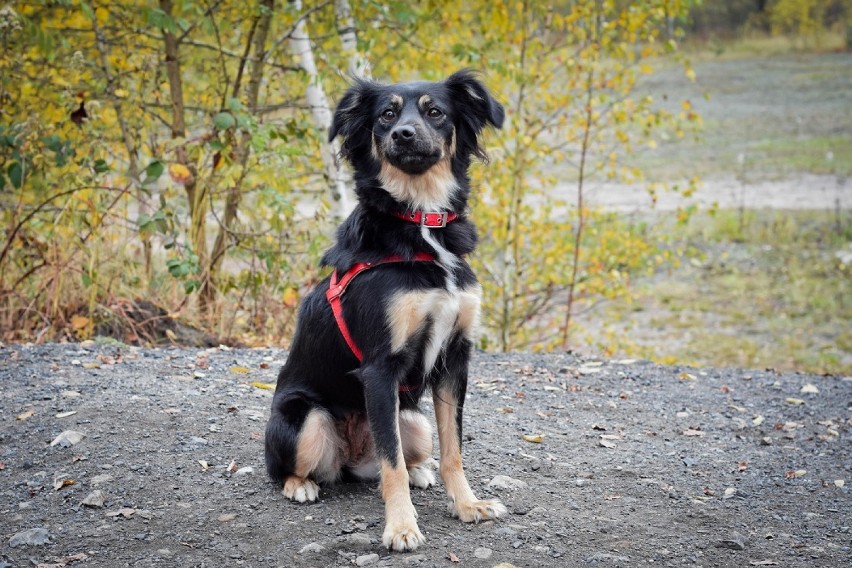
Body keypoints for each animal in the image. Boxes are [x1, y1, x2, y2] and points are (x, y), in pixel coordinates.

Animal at [264, 70, 506, 552]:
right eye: (386, 116)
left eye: (436, 112)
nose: (403, 134)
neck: (421, 223)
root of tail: (354, 457)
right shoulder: (380, 367)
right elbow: (390, 463)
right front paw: (401, 527)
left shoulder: (455, 358)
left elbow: (453, 450)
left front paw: (467, 504)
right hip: (307, 418)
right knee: (298, 467)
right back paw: (301, 485)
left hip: (413, 420)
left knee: (398, 454)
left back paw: (419, 472)